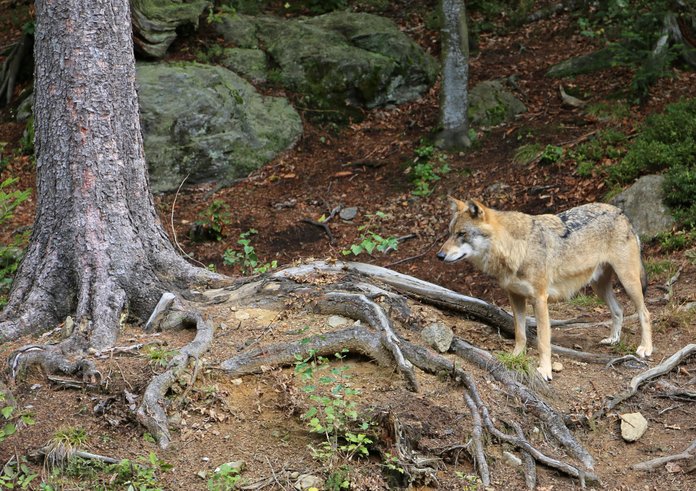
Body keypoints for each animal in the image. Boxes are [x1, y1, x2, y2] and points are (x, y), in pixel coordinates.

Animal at [436, 196, 652, 380]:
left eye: (462, 234)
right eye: (450, 233)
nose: (439, 255)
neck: (516, 248)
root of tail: (622, 213)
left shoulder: (540, 299)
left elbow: (542, 341)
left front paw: (545, 371)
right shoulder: (515, 297)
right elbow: (520, 334)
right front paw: (515, 358)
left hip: (628, 282)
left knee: (645, 312)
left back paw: (646, 348)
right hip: (599, 287)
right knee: (619, 309)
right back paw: (613, 340)